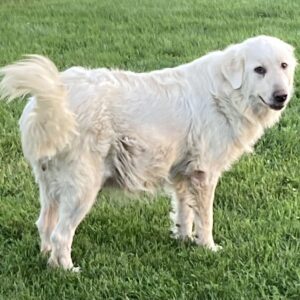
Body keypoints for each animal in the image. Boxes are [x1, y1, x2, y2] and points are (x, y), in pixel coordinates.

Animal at [0, 34, 296, 270]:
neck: (226, 92)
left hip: (50, 186)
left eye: (283, 66)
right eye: (259, 70)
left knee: (44, 226)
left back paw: (47, 259)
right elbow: (205, 219)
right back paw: (67, 270)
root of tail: (54, 96)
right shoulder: (205, 174)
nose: (282, 96)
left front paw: (184, 240)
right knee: (61, 235)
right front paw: (208, 247)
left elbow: (184, 213)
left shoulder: (183, 175)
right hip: (83, 188)